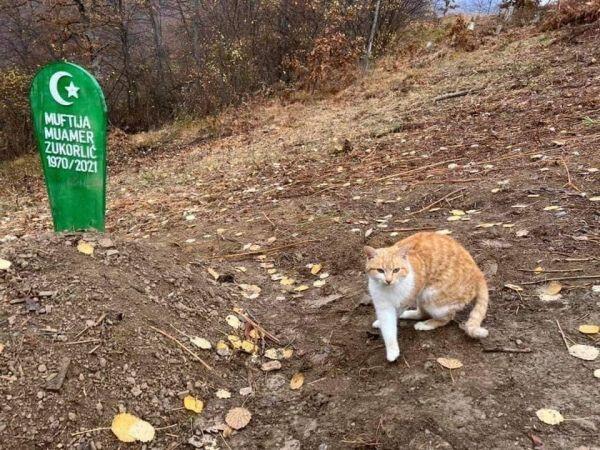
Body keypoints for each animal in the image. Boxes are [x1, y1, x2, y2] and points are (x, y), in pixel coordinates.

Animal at [366, 232, 488, 362]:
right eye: (380, 270)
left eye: (396, 270)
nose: (388, 280)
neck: (389, 290)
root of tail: (479, 273)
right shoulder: (383, 306)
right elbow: (387, 326)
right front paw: (388, 340)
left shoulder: (405, 300)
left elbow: (393, 319)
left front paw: (393, 351)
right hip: (422, 296)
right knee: (421, 313)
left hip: (431, 297)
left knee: (446, 318)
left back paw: (425, 325)